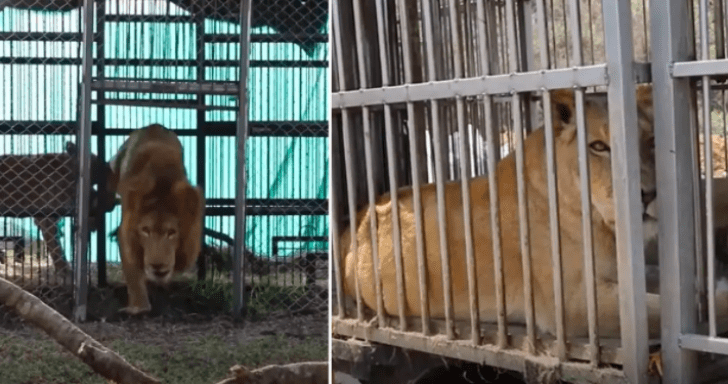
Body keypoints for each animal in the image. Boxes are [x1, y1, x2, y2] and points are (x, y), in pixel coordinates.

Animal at [342, 86, 728, 340]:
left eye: (651, 141)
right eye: (599, 146)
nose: (648, 194)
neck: (601, 225)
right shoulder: (573, 303)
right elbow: (663, 309)